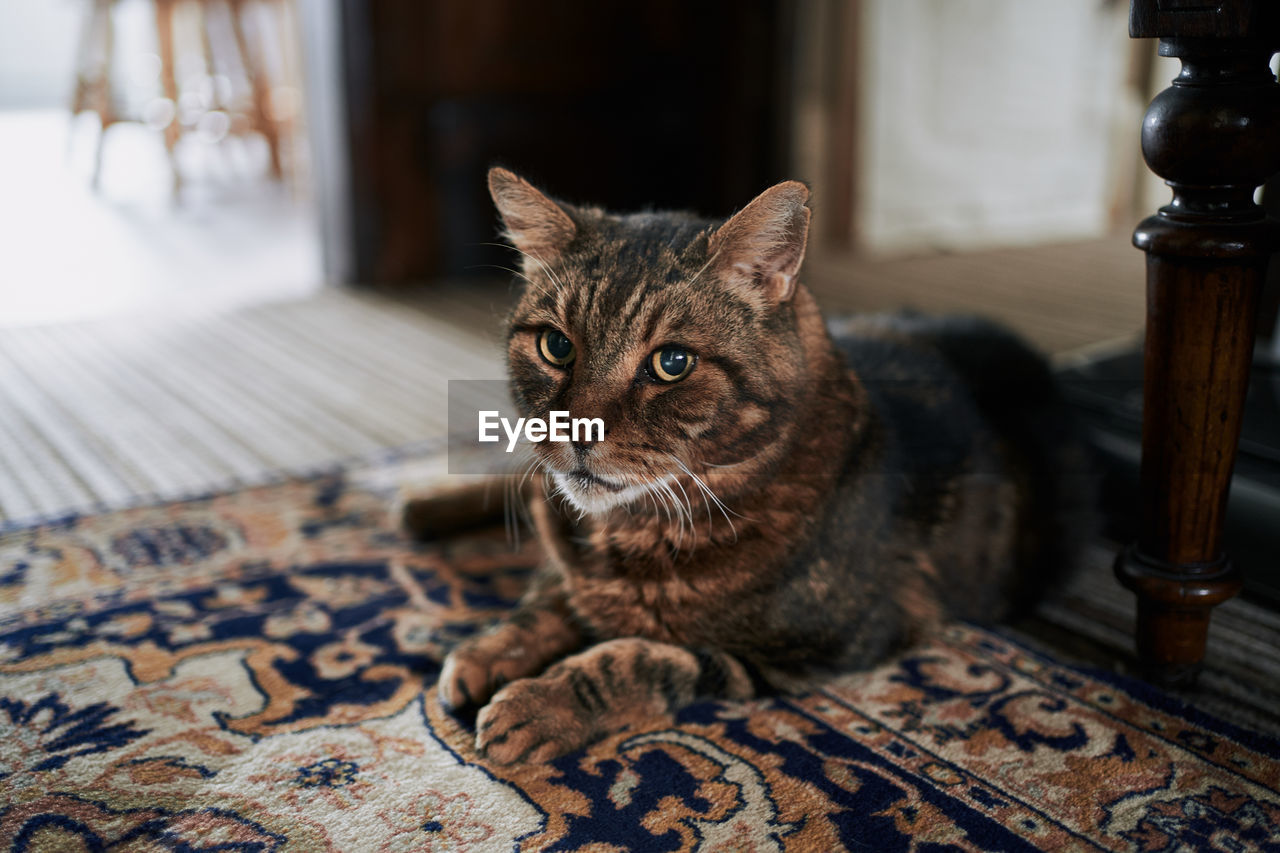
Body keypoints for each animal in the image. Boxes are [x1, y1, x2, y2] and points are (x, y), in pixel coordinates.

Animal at [401, 163, 1090, 758]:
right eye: (555, 346)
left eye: (672, 363)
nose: (575, 431)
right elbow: (545, 597)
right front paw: (488, 650)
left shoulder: (812, 651)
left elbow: (644, 658)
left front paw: (540, 704)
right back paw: (420, 506)